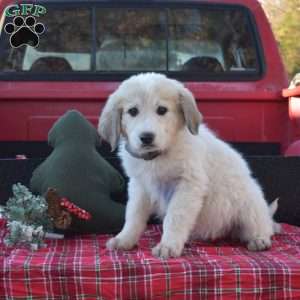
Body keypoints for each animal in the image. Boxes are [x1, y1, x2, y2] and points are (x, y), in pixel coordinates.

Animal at [99, 72, 278, 258]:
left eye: (162, 110)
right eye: (132, 111)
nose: (146, 137)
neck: (159, 155)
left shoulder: (188, 185)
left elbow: (175, 217)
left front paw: (168, 245)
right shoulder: (140, 186)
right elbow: (133, 215)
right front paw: (125, 239)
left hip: (249, 205)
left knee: (263, 227)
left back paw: (259, 239)